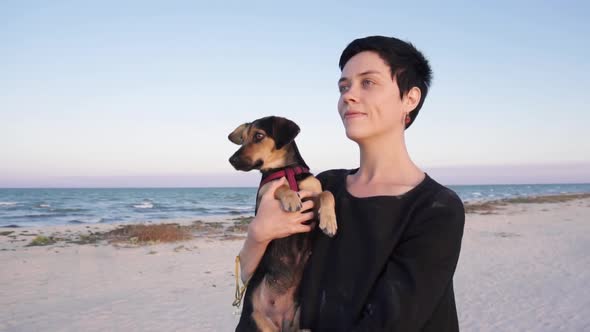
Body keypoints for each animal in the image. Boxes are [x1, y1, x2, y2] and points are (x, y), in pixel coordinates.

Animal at [229, 115, 338, 330]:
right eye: (243, 138)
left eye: (258, 136)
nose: (231, 160)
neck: (286, 170)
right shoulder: (266, 195)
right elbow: (281, 187)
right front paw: (291, 198)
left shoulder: (312, 196)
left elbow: (327, 193)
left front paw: (329, 221)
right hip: (258, 320)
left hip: (297, 319)